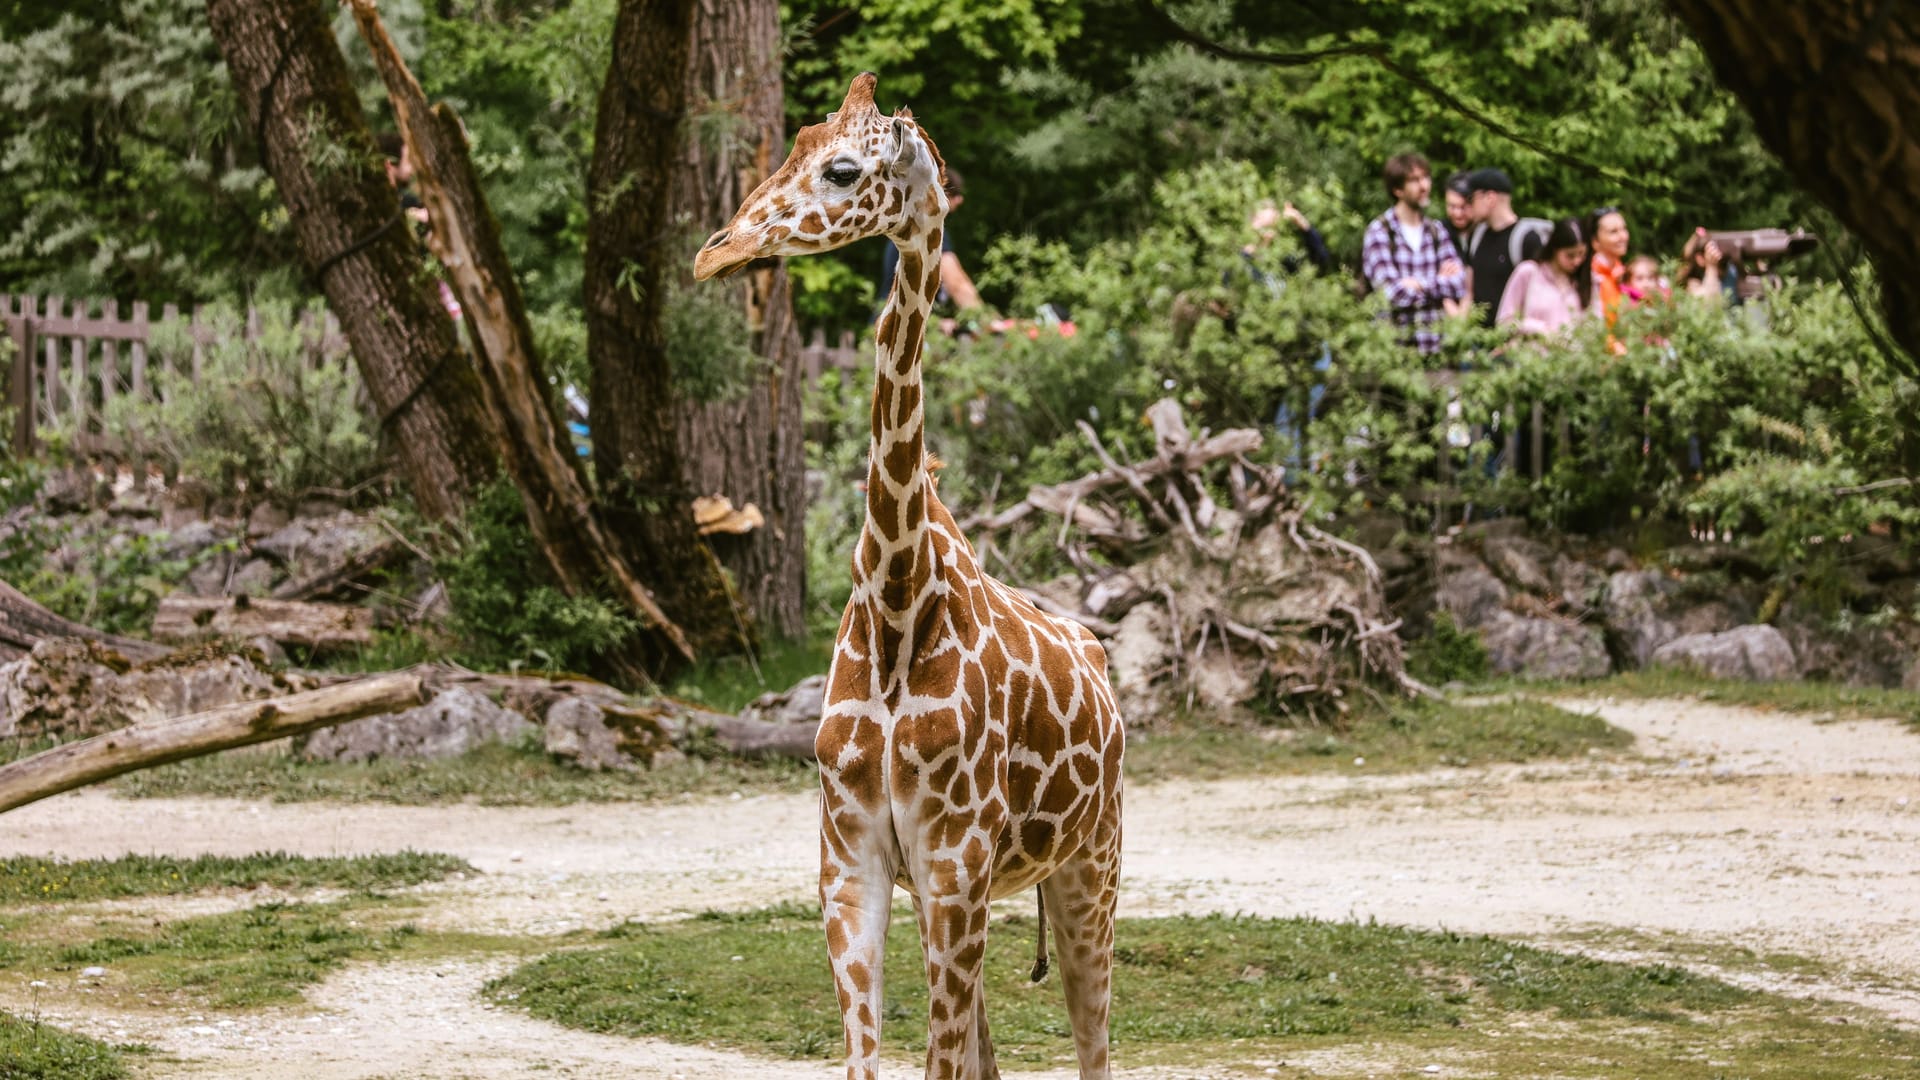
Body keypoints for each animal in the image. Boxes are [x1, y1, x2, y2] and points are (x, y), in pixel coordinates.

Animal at [695, 71, 1121, 1068]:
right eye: (795, 143)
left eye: (844, 169)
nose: (712, 253)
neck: (897, 601)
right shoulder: (850, 863)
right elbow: (872, 1058)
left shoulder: (954, 864)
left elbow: (938, 1063)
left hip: (1090, 868)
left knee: (1096, 1043)